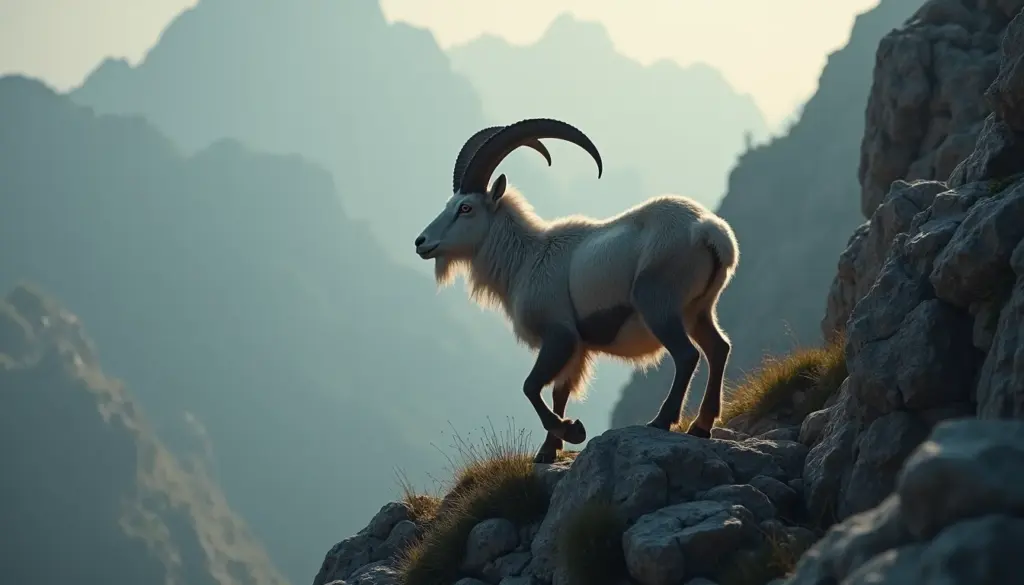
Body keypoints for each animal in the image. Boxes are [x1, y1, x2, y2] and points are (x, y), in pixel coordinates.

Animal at [414, 118, 739, 463]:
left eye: (466, 208)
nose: (422, 242)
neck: (527, 258)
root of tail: (707, 230)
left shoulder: (560, 335)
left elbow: (531, 386)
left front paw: (571, 431)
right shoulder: (578, 348)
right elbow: (560, 391)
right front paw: (548, 450)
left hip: (658, 304)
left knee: (687, 354)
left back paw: (662, 421)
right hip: (699, 310)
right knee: (718, 347)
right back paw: (701, 426)